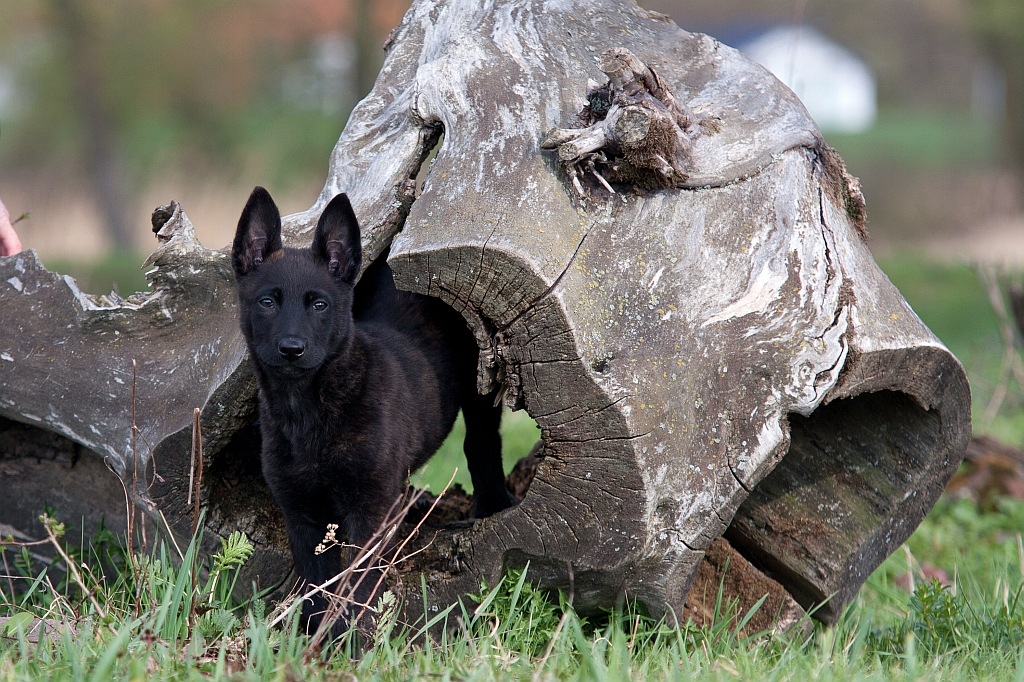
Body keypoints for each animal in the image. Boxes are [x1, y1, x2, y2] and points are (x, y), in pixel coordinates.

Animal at [234, 187, 516, 630]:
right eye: (267, 302)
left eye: (319, 305)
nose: (292, 349)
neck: (309, 411)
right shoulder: (301, 514)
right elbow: (318, 591)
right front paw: (316, 642)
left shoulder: (372, 510)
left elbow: (358, 590)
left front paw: (351, 641)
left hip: (480, 386)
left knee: (482, 442)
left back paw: (492, 506)